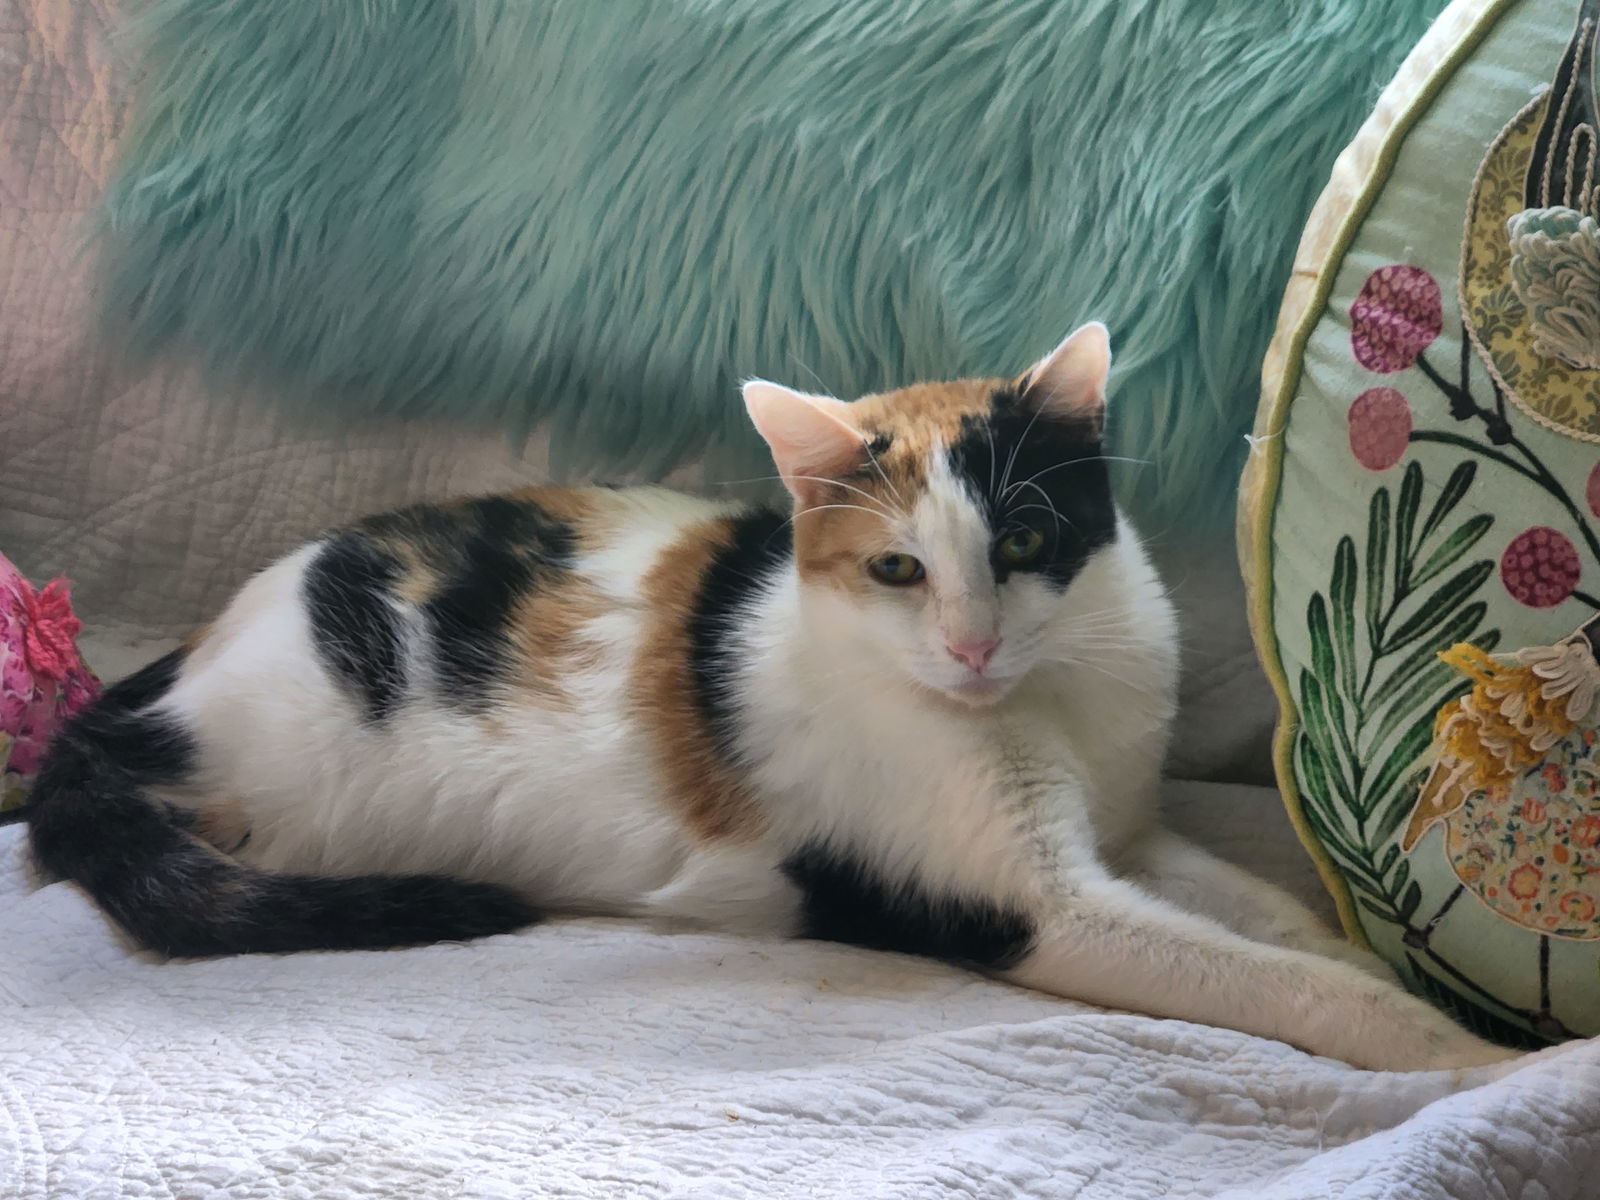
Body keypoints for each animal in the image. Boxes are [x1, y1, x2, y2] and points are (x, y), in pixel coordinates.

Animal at [28, 326, 1523, 1068]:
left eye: (1027, 542)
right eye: (898, 569)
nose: (971, 648)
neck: (1042, 699)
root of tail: (160, 680)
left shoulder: (1137, 827)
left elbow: (1277, 920)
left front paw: (1402, 971)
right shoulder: (1030, 904)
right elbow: (1267, 977)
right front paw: (1467, 1055)